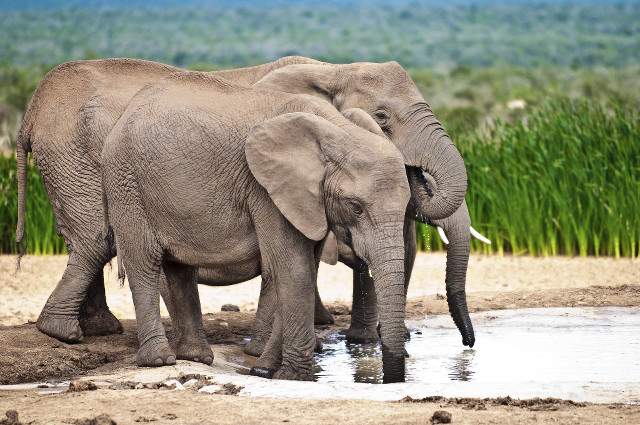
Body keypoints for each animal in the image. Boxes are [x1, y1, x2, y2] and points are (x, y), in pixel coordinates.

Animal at [13, 55, 480, 348]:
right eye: (383, 118)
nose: (468, 344)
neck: (335, 69)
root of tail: (31, 112)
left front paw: (358, 340)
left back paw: (97, 331)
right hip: (80, 159)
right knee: (98, 239)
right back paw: (65, 334)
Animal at [100, 72, 410, 380]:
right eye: (356, 207)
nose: (404, 358)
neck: (339, 131)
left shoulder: (312, 201)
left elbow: (304, 268)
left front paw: (265, 370)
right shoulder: (266, 189)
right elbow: (293, 269)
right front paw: (294, 377)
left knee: (180, 269)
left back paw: (195, 357)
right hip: (126, 181)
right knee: (144, 262)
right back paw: (159, 361)